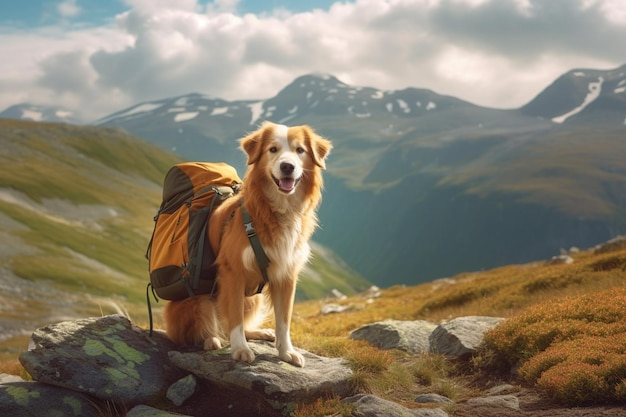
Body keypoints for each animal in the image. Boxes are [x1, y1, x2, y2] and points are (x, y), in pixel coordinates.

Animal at [165, 121, 332, 368]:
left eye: (300, 150)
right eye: (273, 149)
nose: (287, 167)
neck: (277, 211)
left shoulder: (286, 274)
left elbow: (284, 320)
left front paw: (286, 352)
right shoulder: (233, 272)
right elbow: (234, 318)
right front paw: (240, 349)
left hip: (254, 298)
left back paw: (259, 333)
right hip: (199, 299)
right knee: (207, 328)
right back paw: (211, 340)